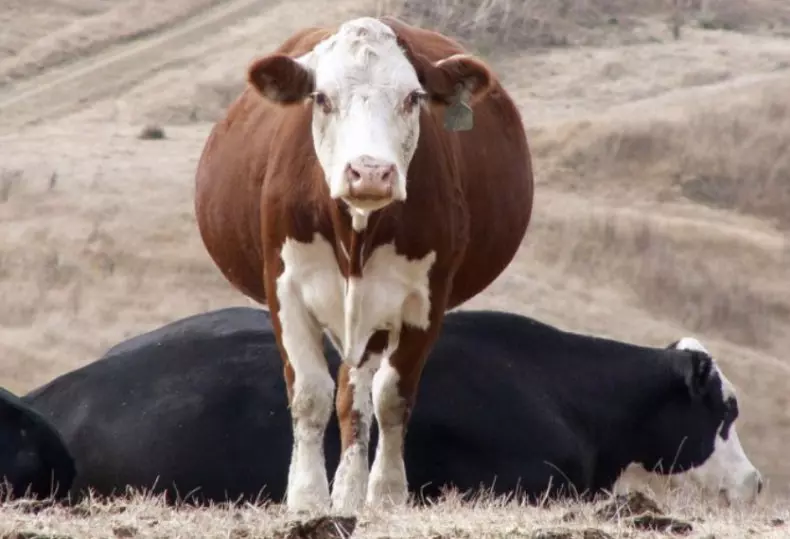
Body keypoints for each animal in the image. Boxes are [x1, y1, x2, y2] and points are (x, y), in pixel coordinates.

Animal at [193, 15, 534, 513]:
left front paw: (386, 493)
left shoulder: (425, 299)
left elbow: (391, 397)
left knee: (357, 396)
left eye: (413, 98)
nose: (370, 172)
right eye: (321, 98)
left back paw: (352, 492)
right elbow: (310, 394)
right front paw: (307, 497)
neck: (355, 230)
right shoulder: (285, 287)